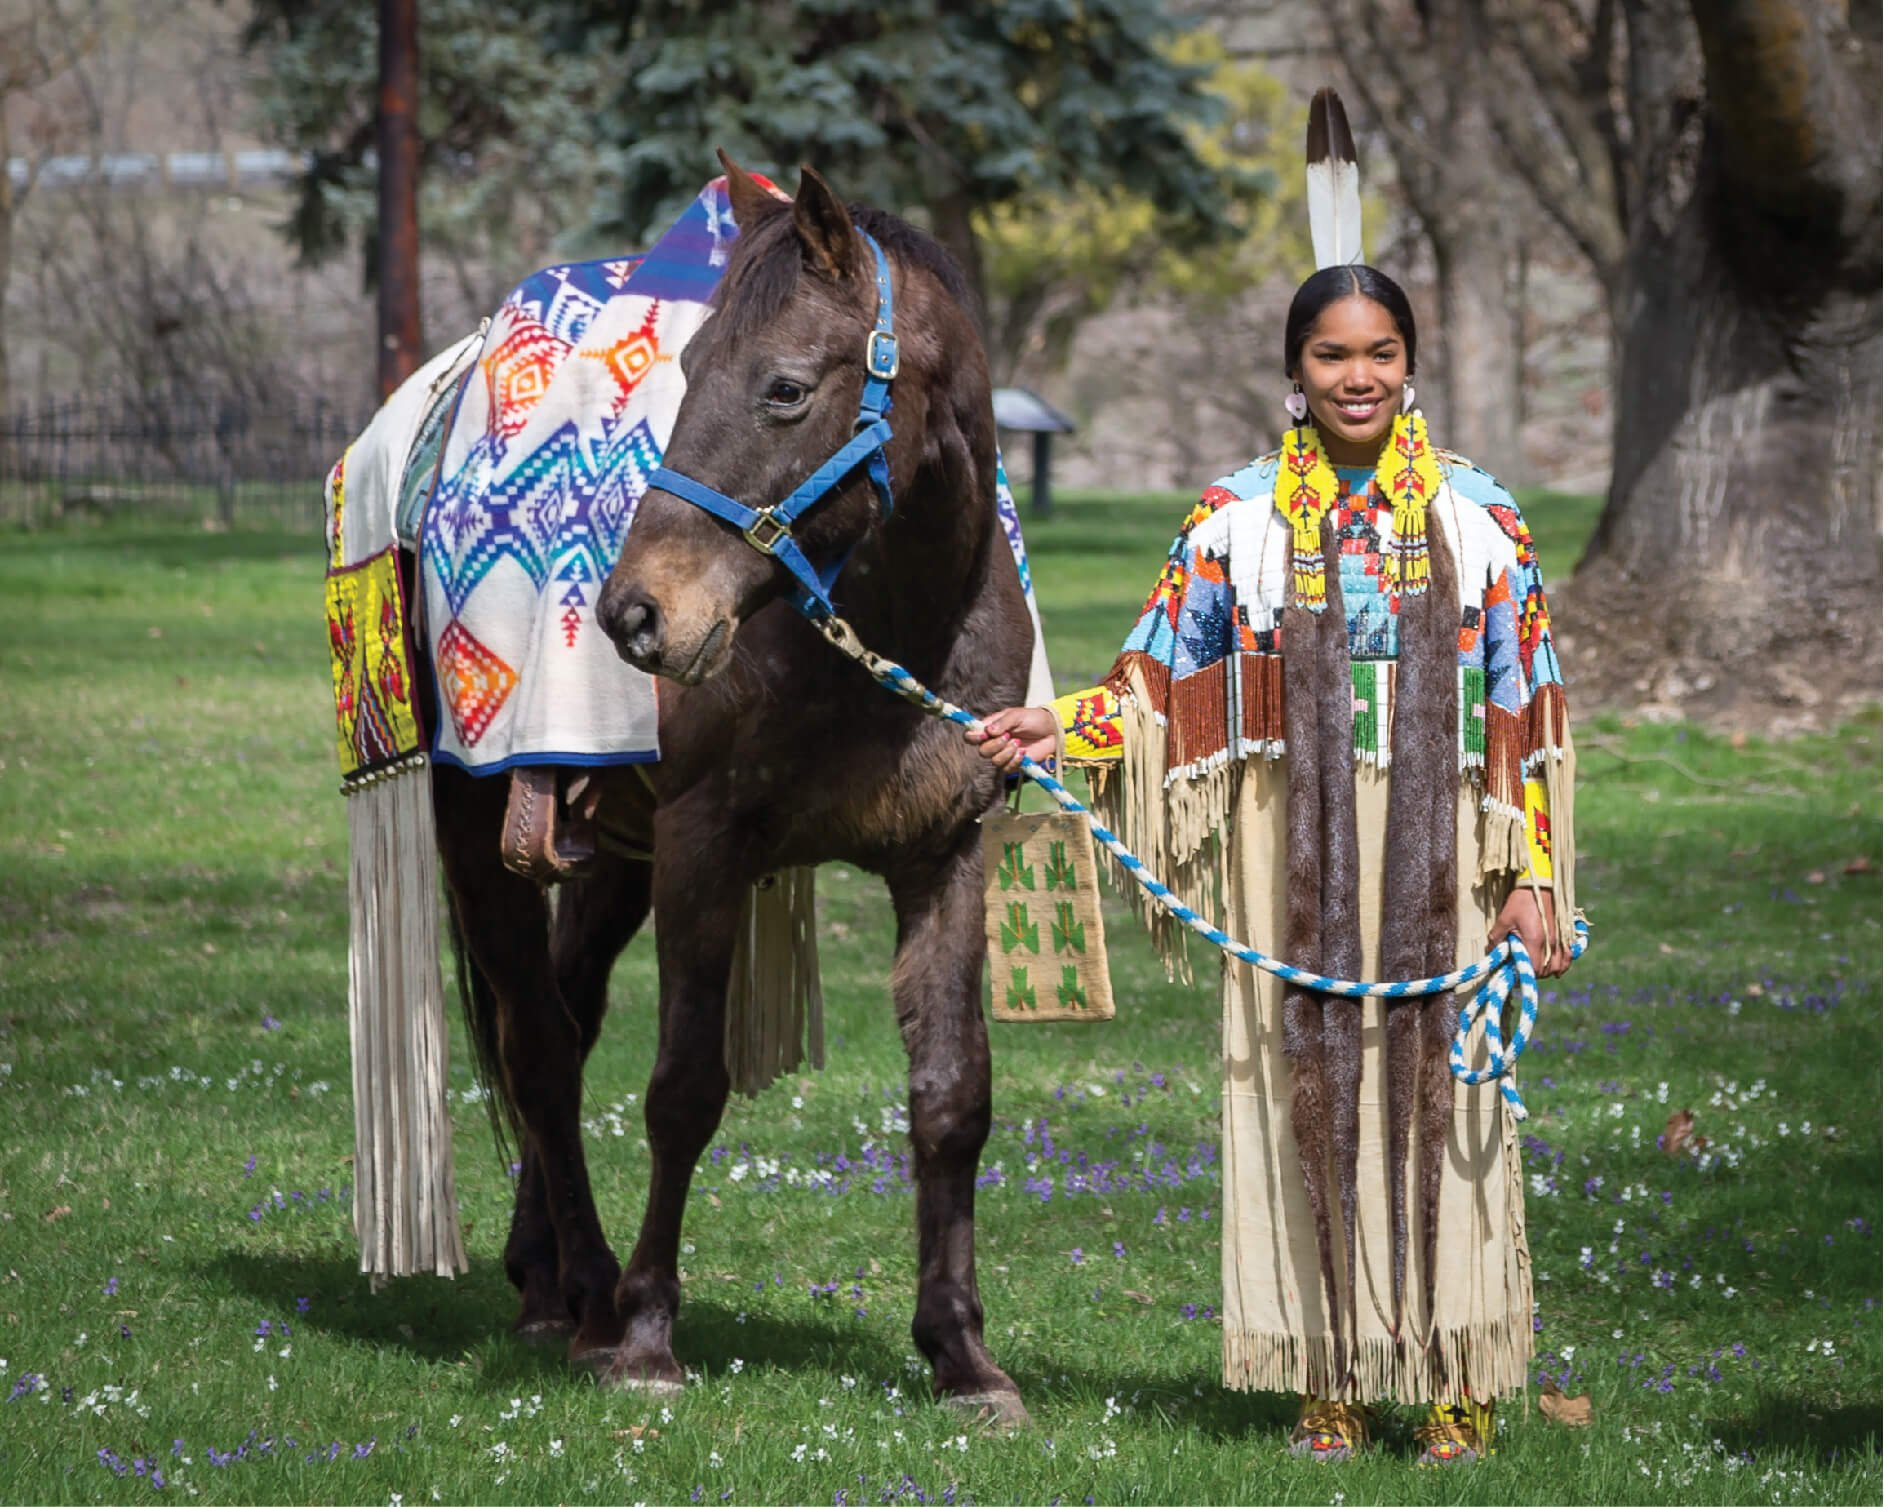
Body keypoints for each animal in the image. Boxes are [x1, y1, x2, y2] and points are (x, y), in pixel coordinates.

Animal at [431, 159, 1032, 1431]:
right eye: (689, 369)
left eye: (786, 388)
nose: (634, 614)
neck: (883, 638)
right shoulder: (705, 849)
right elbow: (682, 1089)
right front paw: (653, 1334)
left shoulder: (946, 854)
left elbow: (952, 1096)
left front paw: (961, 1353)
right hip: (476, 833)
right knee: (539, 1047)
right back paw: (594, 1295)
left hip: (610, 860)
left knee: (564, 1015)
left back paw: (544, 1279)